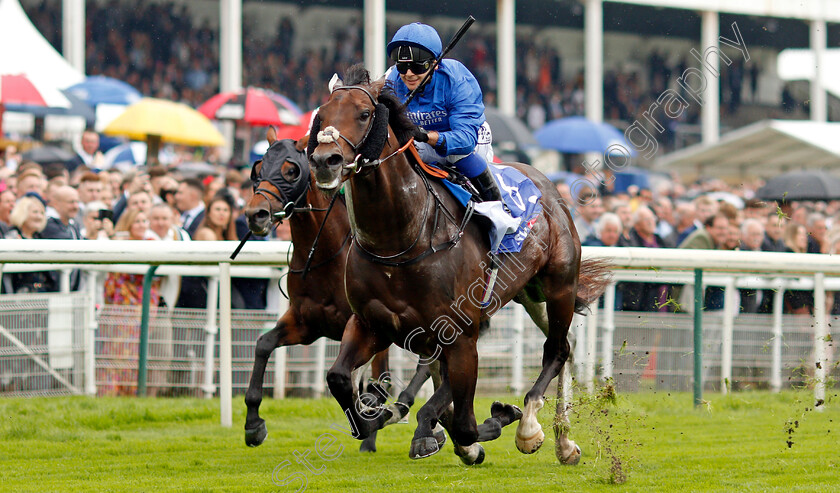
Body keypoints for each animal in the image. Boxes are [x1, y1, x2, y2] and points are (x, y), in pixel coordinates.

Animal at [243, 130, 434, 450]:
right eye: (258, 170)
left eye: (291, 171)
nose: (255, 214)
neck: (325, 254)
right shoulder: (306, 323)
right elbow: (264, 344)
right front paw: (254, 424)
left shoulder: (370, 324)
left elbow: (378, 381)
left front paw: (371, 426)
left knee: (425, 363)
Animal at [308, 64, 612, 462]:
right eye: (322, 116)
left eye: (363, 114)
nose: (325, 162)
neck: (400, 241)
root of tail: (547, 185)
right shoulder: (370, 323)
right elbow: (341, 380)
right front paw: (386, 418)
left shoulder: (462, 334)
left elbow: (467, 422)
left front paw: (496, 419)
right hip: (528, 293)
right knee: (565, 343)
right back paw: (558, 439)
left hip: (559, 283)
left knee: (558, 348)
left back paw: (538, 430)